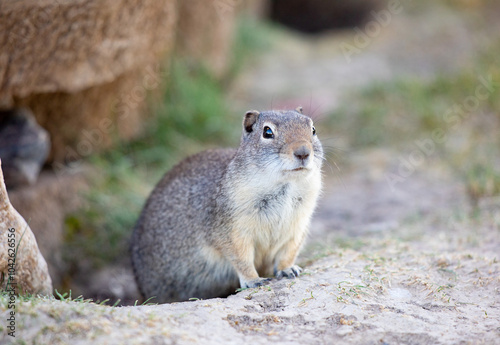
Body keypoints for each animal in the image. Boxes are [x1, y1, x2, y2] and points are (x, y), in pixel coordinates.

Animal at [131, 107, 322, 300]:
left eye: (313, 129)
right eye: (267, 132)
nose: (303, 152)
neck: (286, 185)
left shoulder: (297, 227)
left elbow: (288, 252)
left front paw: (288, 270)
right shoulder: (233, 230)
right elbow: (242, 258)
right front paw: (254, 280)